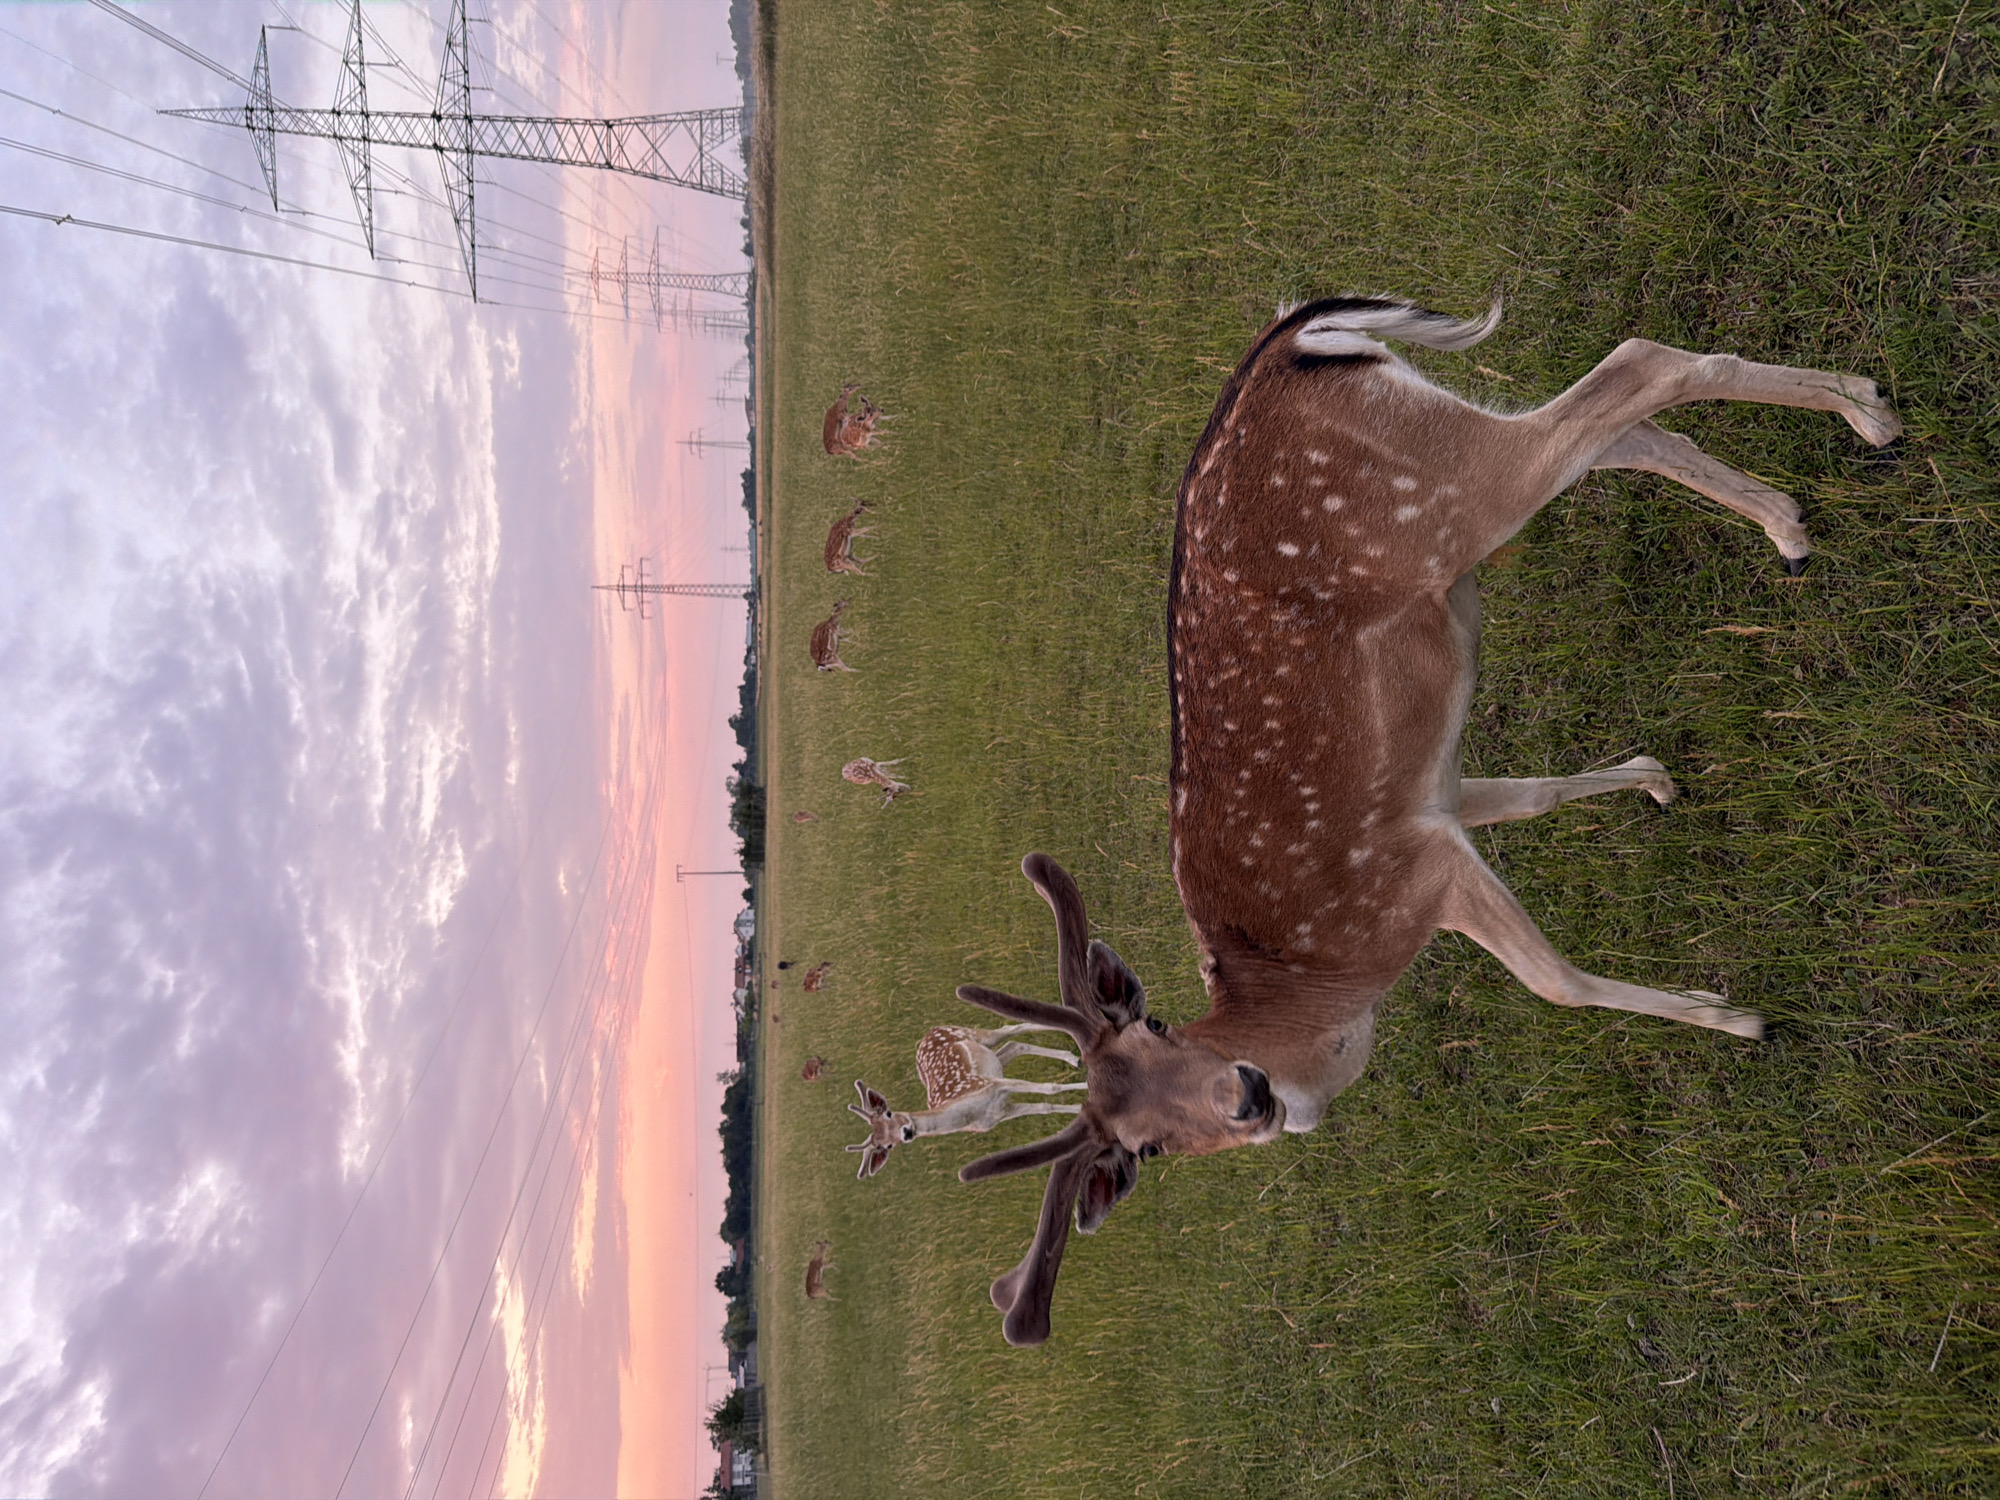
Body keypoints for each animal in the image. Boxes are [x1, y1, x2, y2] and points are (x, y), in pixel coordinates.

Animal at [846, 1025, 1087, 1179]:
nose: (906, 1132)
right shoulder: (1001, 1112)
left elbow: (1049, 1088)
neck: (969, 1114)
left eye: (889, 1113)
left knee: (1012, 1028)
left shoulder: (995, 1084)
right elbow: (1045, 1107)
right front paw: (1082, 1110)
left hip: (972, 1034)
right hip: (995, 1059)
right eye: (885, 1145)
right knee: (1015, 1044)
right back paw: (1072, 1057)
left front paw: (1087, 1089)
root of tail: (929, 1032)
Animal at [948, 295, 1901, 1346]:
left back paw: (1869, 417)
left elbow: (1556, 984)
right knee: (1623, 434)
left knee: (1632, 370)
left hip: (1440, 494)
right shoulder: (1435, 796)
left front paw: (1735, 1017)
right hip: (1443, 456)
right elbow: (1530, 795)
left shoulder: (1416, 874)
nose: (1247, 1096)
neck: (1327, 995)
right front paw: (1653, 780)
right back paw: (1793, 516)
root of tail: (1291, 339)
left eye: (1157, 1025)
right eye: (1144, 1149)